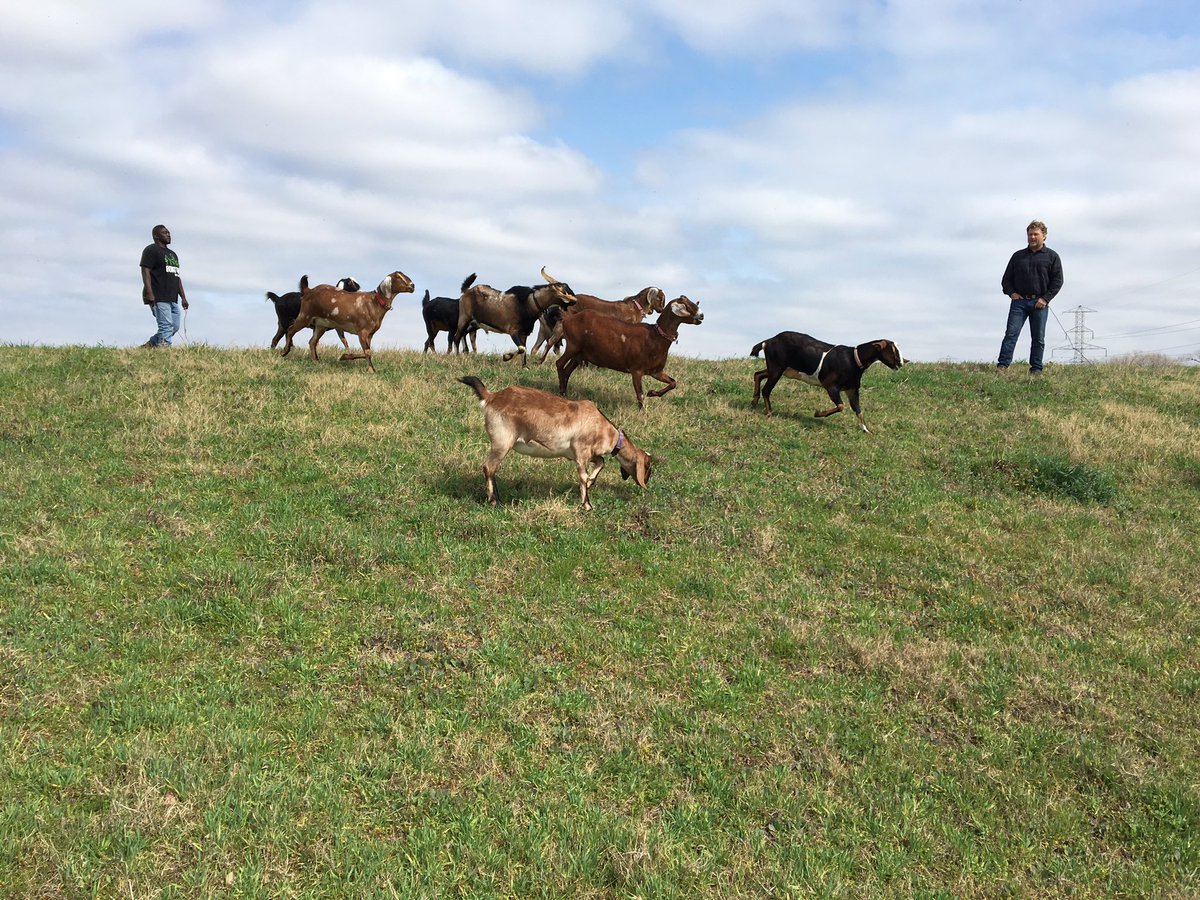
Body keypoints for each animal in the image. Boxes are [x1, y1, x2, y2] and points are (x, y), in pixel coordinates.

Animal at [280, 271, 415, 372]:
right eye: (398, 277)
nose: (413, 286)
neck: (374, 303)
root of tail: (308, 290)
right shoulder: (362, 331)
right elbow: (367, 351)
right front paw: (369, 369)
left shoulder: (370, 334)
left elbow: (367, 351)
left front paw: (362, 365)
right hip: (305, 316)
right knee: (291, 329)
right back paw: (284, 351)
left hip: (321, 324)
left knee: (312, 341)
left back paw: (316, 361)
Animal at [459, 376, 651, 510]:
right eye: (648, 466)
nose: (646, 482)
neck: (603, 427)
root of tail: (491, 397)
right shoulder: (581, 452)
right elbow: (583, 475)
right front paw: (587, 505)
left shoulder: (580, 454)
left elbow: (601, 463)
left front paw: (591, 482)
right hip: (502, 442)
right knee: (489, 467)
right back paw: (495, 502)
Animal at [530, 283, 667, 363]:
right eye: (660, 298)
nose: (661, 309)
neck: (635, 308)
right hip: (561, 326)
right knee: (550, 342)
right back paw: (541, 361)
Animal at [556, 296, 704, 409]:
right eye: (687, 305)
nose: (702, 315)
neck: (655, 337)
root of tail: (568, 319)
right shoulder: (636, 370)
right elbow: (640, 394)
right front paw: (642, 413)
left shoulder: (656, 371)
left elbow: (673, 383)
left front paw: (652, 393)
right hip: (573, 345)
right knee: (559, 364)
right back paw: (561, 391)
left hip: (580, 353)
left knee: (567, 370)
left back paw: (564, 393)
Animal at [750, 331, 905, 432]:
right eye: (892, 350)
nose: (902, 362)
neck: (853, 360)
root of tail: (768, 341)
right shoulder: (831, 387)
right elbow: (841, 406)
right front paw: (817, 413)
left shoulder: (852, 390)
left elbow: (858, 411)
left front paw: (866, 430)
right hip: (777, 369)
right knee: (766, 389)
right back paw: (769, 413)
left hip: (779, 368)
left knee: (758, 374)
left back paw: (753, 402)